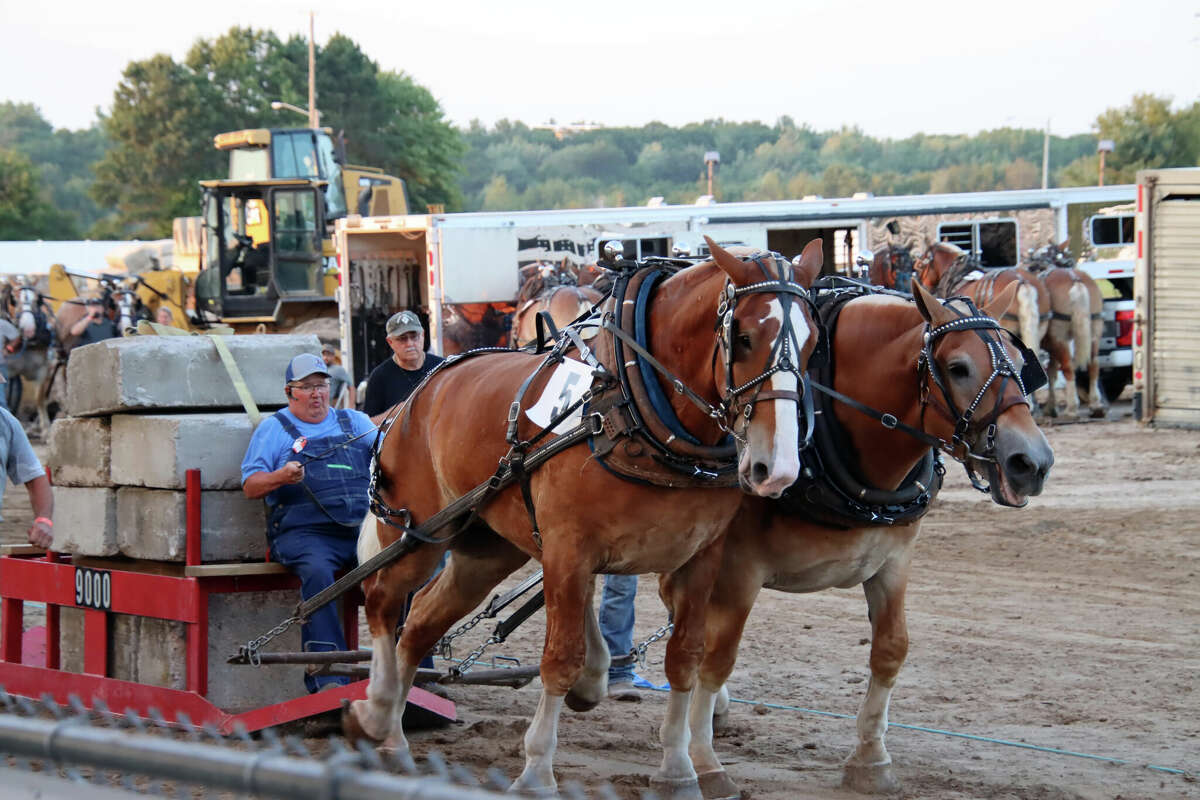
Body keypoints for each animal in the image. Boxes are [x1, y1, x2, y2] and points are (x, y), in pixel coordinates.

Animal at [344, 239, 825, 797]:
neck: (629, 404)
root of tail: (415, 395)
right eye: (743, 337)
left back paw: (393, 739)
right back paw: (376, 710)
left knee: (419, 623)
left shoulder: (699, 557)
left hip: (484, 552)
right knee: (382, 602)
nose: (778, 467)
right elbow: (560, 657)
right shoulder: (567, 551)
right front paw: (536, 770)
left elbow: (684, 658)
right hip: (419, 533)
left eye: (814, 344)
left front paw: (679, 767)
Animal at [680, 279, 1054, 798]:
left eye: (1020, 363)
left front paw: (871, 758)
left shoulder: (893, 563)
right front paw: (702, 761)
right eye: (958, 367)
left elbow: (891, 649)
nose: (1032, 462)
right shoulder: (738, 570)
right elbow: (718, 656)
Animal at [1025, 243, 1106, 418]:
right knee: (1093, 364)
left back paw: (1072, 408)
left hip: (1059, 338)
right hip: (1094, 331)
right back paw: (1095, 404)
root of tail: (1075, 280)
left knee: (1068, 367)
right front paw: (1050, 406)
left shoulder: (1049, 342)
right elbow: (1052, 372)